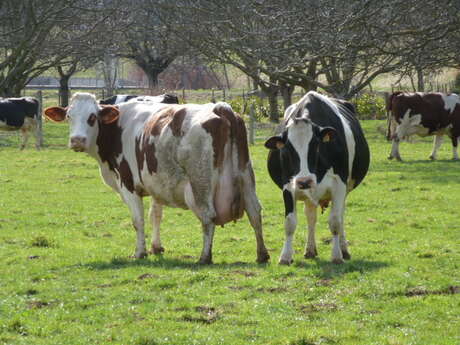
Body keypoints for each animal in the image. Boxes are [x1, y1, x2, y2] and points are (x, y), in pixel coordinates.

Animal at [44, 91, 270, 264]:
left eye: (92, 117)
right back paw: (262, 255)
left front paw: (140, 252)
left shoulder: (128, 184)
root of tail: (220, 108)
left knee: (208, 217)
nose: (77, 140)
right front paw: (156, 247)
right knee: (255, 212)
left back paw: (204, 257)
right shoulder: (157, 182)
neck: (117, 127)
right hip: (246, 177)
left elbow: (138, 220)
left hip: (200, 183)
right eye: (69, 116)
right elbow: (156, 214)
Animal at [264, 90, 368, 264]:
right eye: (287, 149)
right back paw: (310, 250)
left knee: (340, 216)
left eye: (316, 145)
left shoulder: (339, 186)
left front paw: (336, 256)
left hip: (344, 190)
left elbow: (335, 222)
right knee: (311, 216)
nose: (304, 181)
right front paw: (285, 256)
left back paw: (344, 250)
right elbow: (290, 223)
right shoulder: (288, 186)